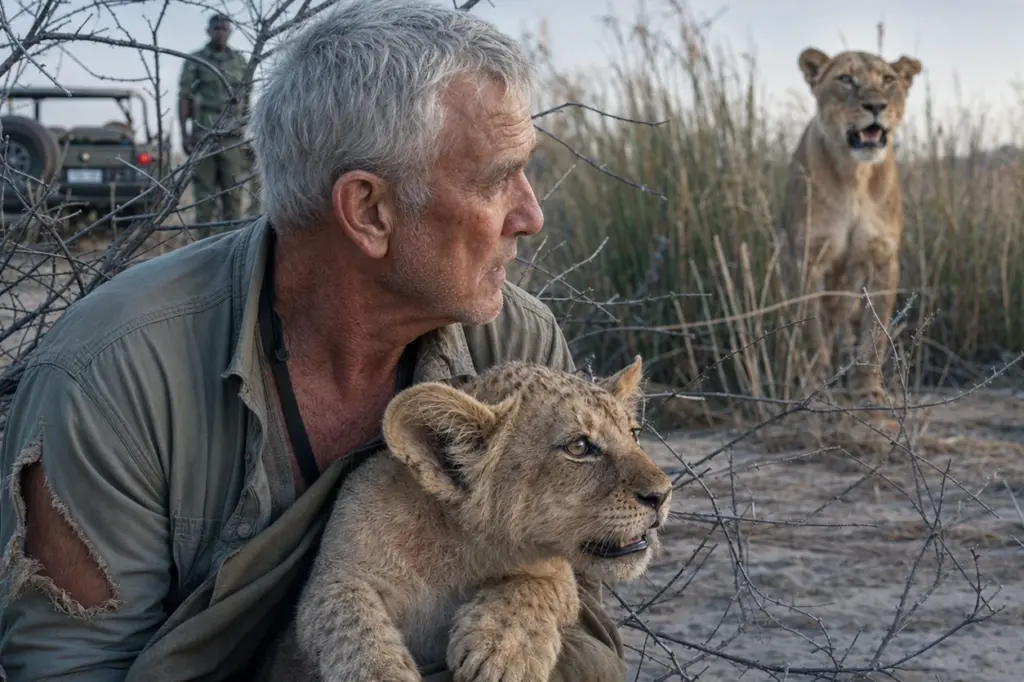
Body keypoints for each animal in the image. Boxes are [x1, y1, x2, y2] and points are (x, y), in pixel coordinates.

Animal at [255, 356, 673, 682]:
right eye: (580, 446)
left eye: (633, 433)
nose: (663, 493)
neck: (454, 543)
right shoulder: (335, 576)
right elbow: (348, 619)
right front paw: (381, 672)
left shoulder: (557, 573)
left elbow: (536, 585)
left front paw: (504, 650)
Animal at [778, 47, 922, 402]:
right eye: (845, 79)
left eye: (888, 80)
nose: (876, 106)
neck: (856, 177)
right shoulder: (807, 259)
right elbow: (811, 332)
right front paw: (815, 390)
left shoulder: (881, 258)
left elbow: (873, 335)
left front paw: (867, 389)